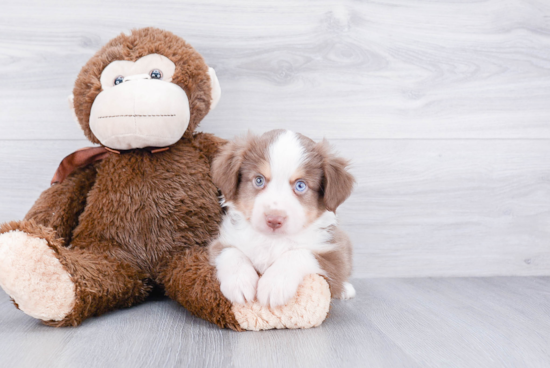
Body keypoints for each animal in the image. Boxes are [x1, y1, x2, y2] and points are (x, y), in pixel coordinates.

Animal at [209, 129, 356, 308]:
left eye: (300, 185)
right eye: (259, 180)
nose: (274, 219)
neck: (272, 241)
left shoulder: (335, 256)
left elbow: (299, 253)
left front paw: (274, 284)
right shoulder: (222, 241)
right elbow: (230, 252)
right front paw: (239, 282)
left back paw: (346, 290)